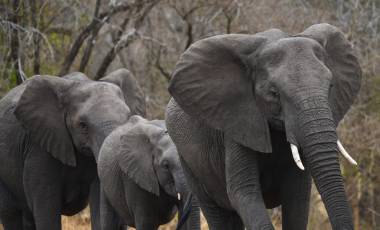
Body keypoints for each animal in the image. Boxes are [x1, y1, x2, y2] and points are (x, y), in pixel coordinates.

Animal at [166, 22, 362, 230]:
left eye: (331, 86)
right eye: (274, 93)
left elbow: (298, 196)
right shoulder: (237, 119)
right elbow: (243, 192)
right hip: (189, 162)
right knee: (217, 213)